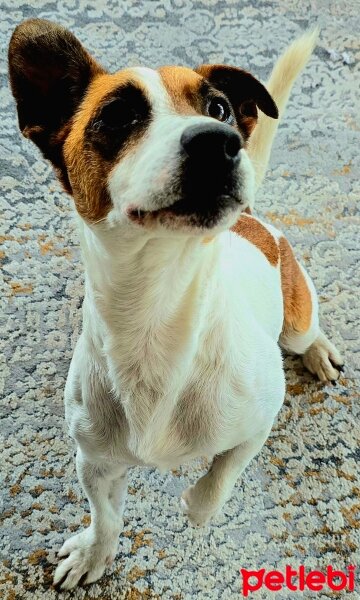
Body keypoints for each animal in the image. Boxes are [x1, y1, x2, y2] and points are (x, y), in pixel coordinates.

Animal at [8, 19, 344, 592]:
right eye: (117, 114)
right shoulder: (93, 461)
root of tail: (255, 221)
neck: (155, 316)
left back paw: (319, 352)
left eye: (220, 108)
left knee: (307, 329)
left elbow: (221, 476)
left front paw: (197, 505)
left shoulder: (260, 419)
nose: (220, 141)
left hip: (296, 318)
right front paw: (95, 554)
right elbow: (105, 515)